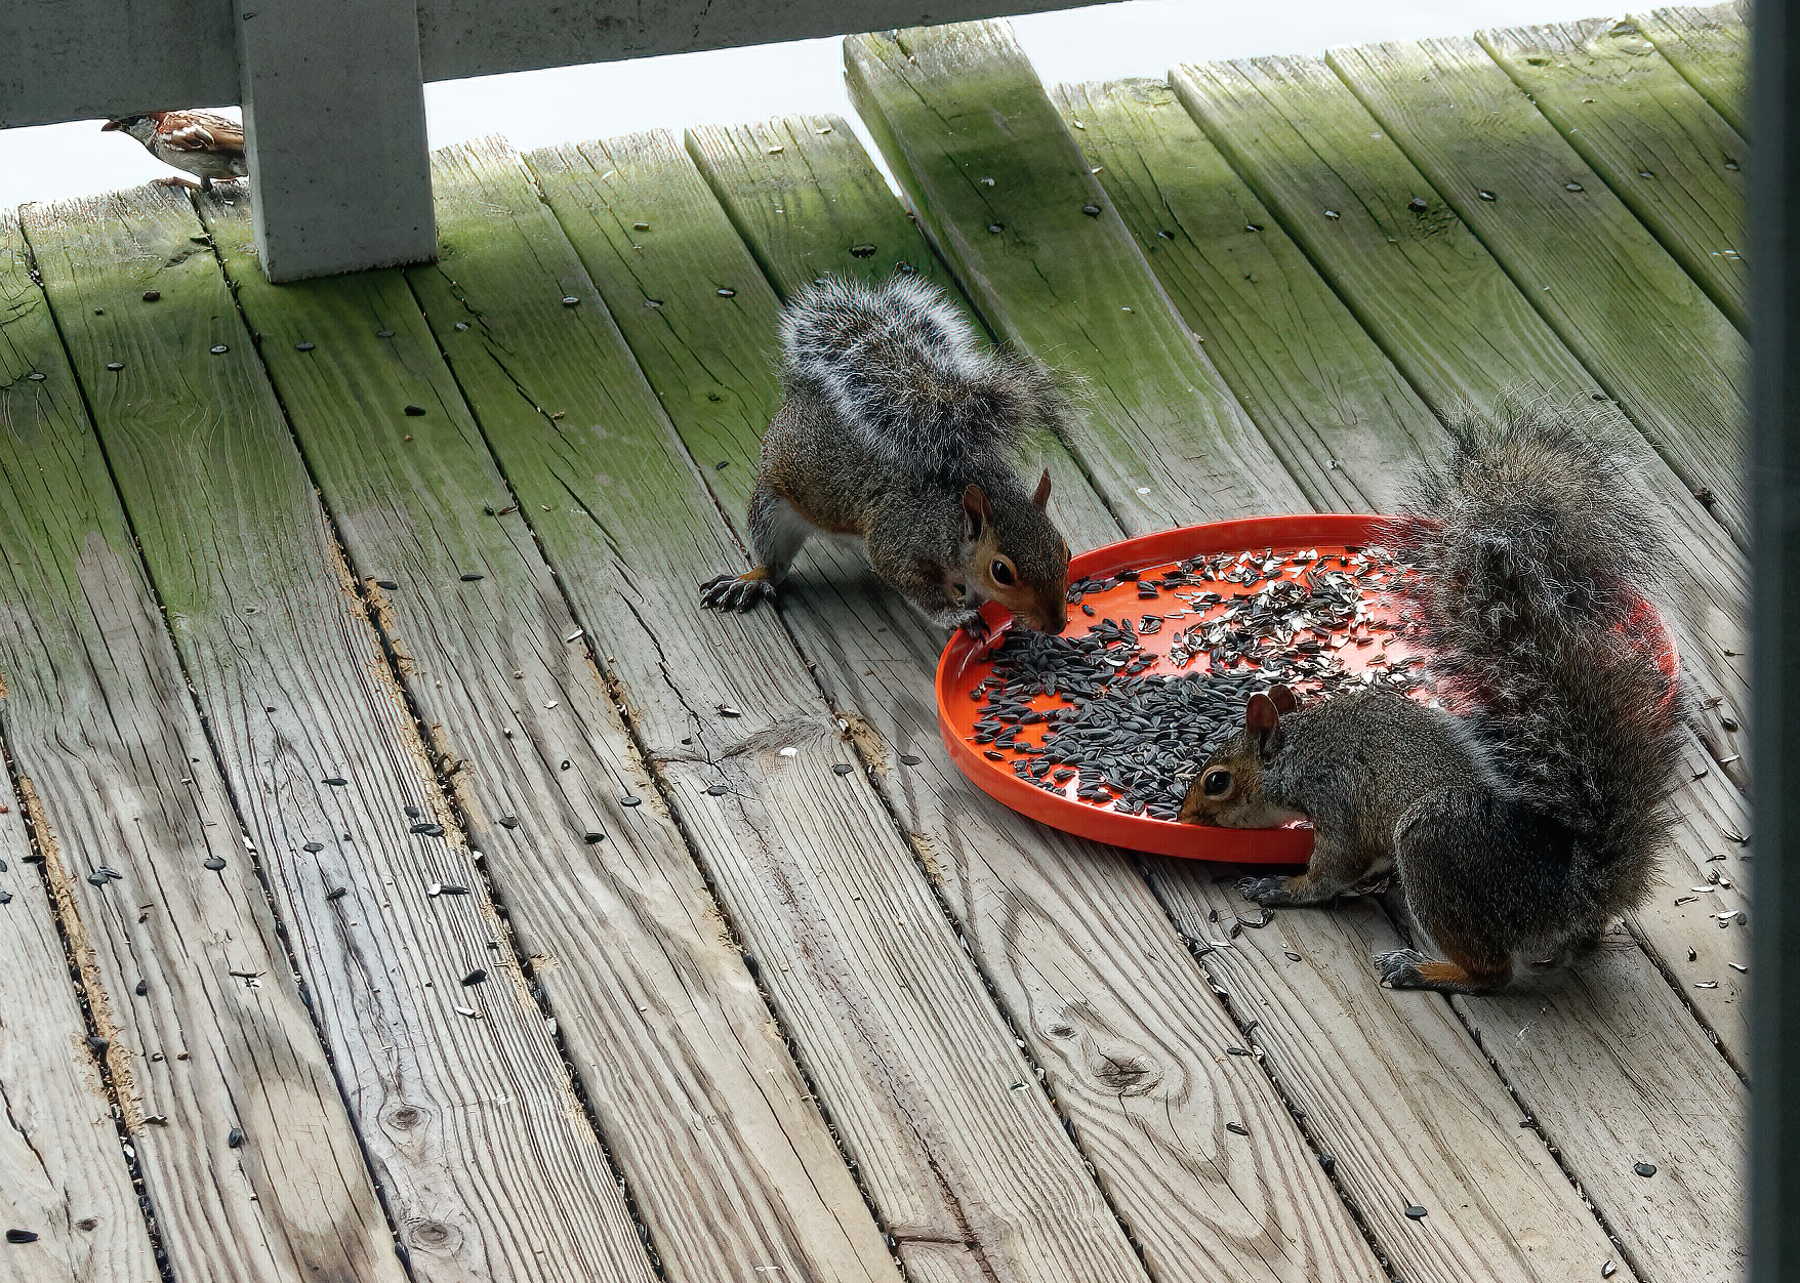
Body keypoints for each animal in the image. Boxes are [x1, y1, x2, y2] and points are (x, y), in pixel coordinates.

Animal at [698, 273, 1065, 633]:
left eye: (1063, 548)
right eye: (1001, 572)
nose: (1057, 625)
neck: (950, 518)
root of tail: (800, 394)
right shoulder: (897, 541)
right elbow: (916, 589)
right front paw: (954, 616)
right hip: (772, 507)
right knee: (773, 563)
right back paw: (750, 579)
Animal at [1180, 410, 1684, 993]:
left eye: (1217, 782)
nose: (1186, 816)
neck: (1301, 747)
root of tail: (1566, 897)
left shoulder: (1337, 800)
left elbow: (1333, 869)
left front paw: (1281, 888)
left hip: (1433, 849)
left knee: (1491, 973)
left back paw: (1424, 968)